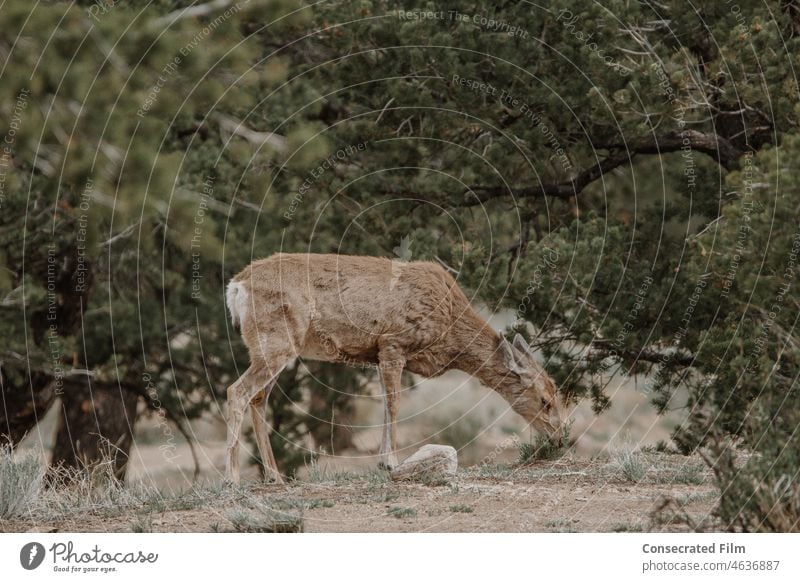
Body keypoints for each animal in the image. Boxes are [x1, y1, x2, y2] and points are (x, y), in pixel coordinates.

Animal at [223, 253, 564, 486]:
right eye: (545, 400)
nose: (560, 438)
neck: (450, 331)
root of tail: (236, 286)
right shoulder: (393, 343)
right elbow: (395, 403)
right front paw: (389, 462)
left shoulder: (379, 355)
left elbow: (387, 405)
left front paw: (384, 462)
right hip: (276, 340)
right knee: (236, 391)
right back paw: (233, 478)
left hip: (273, 347)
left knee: (258, 398)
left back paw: (274, 476)